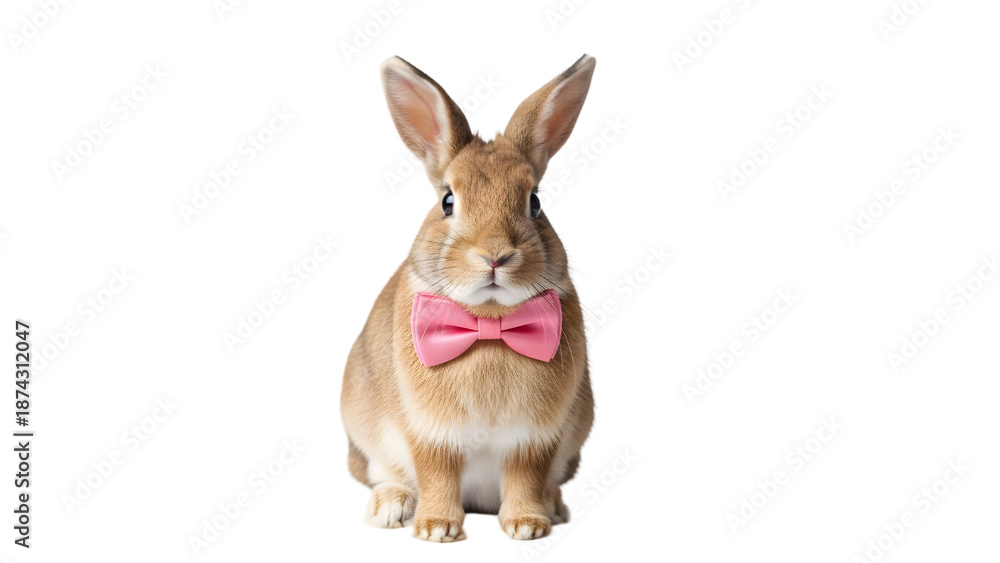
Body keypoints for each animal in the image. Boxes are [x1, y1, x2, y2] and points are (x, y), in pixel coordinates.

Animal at [340, 54, 596, 542]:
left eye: (535, 202)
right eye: (447, 201)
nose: (495, 255)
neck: (489, 322)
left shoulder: (535, 438)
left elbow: (525, 476)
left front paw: (526, 527)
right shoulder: (431, 433)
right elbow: (437, 473)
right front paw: (436, 530)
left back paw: (553, 507)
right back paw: (390, 508)